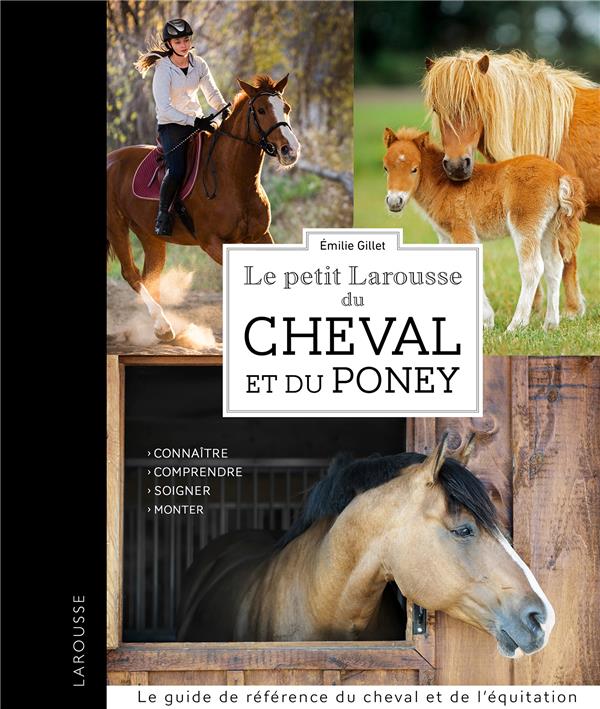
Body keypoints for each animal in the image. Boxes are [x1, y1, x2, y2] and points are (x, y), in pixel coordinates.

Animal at [107, 74, 300, 341]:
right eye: (261, 110)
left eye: (286, 108)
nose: (290, 151)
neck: (234, 179)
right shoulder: (213, 243)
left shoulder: (261, 236)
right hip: (116, 226)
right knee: (131, 274)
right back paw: (164, 327)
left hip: (150, 236)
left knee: (150, 277)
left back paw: (157, 329)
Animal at [383, 127, 585, 332]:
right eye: (386, 168)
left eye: (414, 169)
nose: (394, 201)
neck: (443, 184)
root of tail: (559, 174)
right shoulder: (445, 235)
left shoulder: (463, 230)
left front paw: (486, 319)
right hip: (548, 228)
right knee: (554, 265)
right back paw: (550, 324)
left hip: (524, 224)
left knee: (532, 267)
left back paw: (516, 325)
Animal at [422, 50, 599, 319]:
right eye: (436, 108)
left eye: (477, 104)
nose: (456, 166)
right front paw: (538, 308)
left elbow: (566, 258)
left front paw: (571, 310)